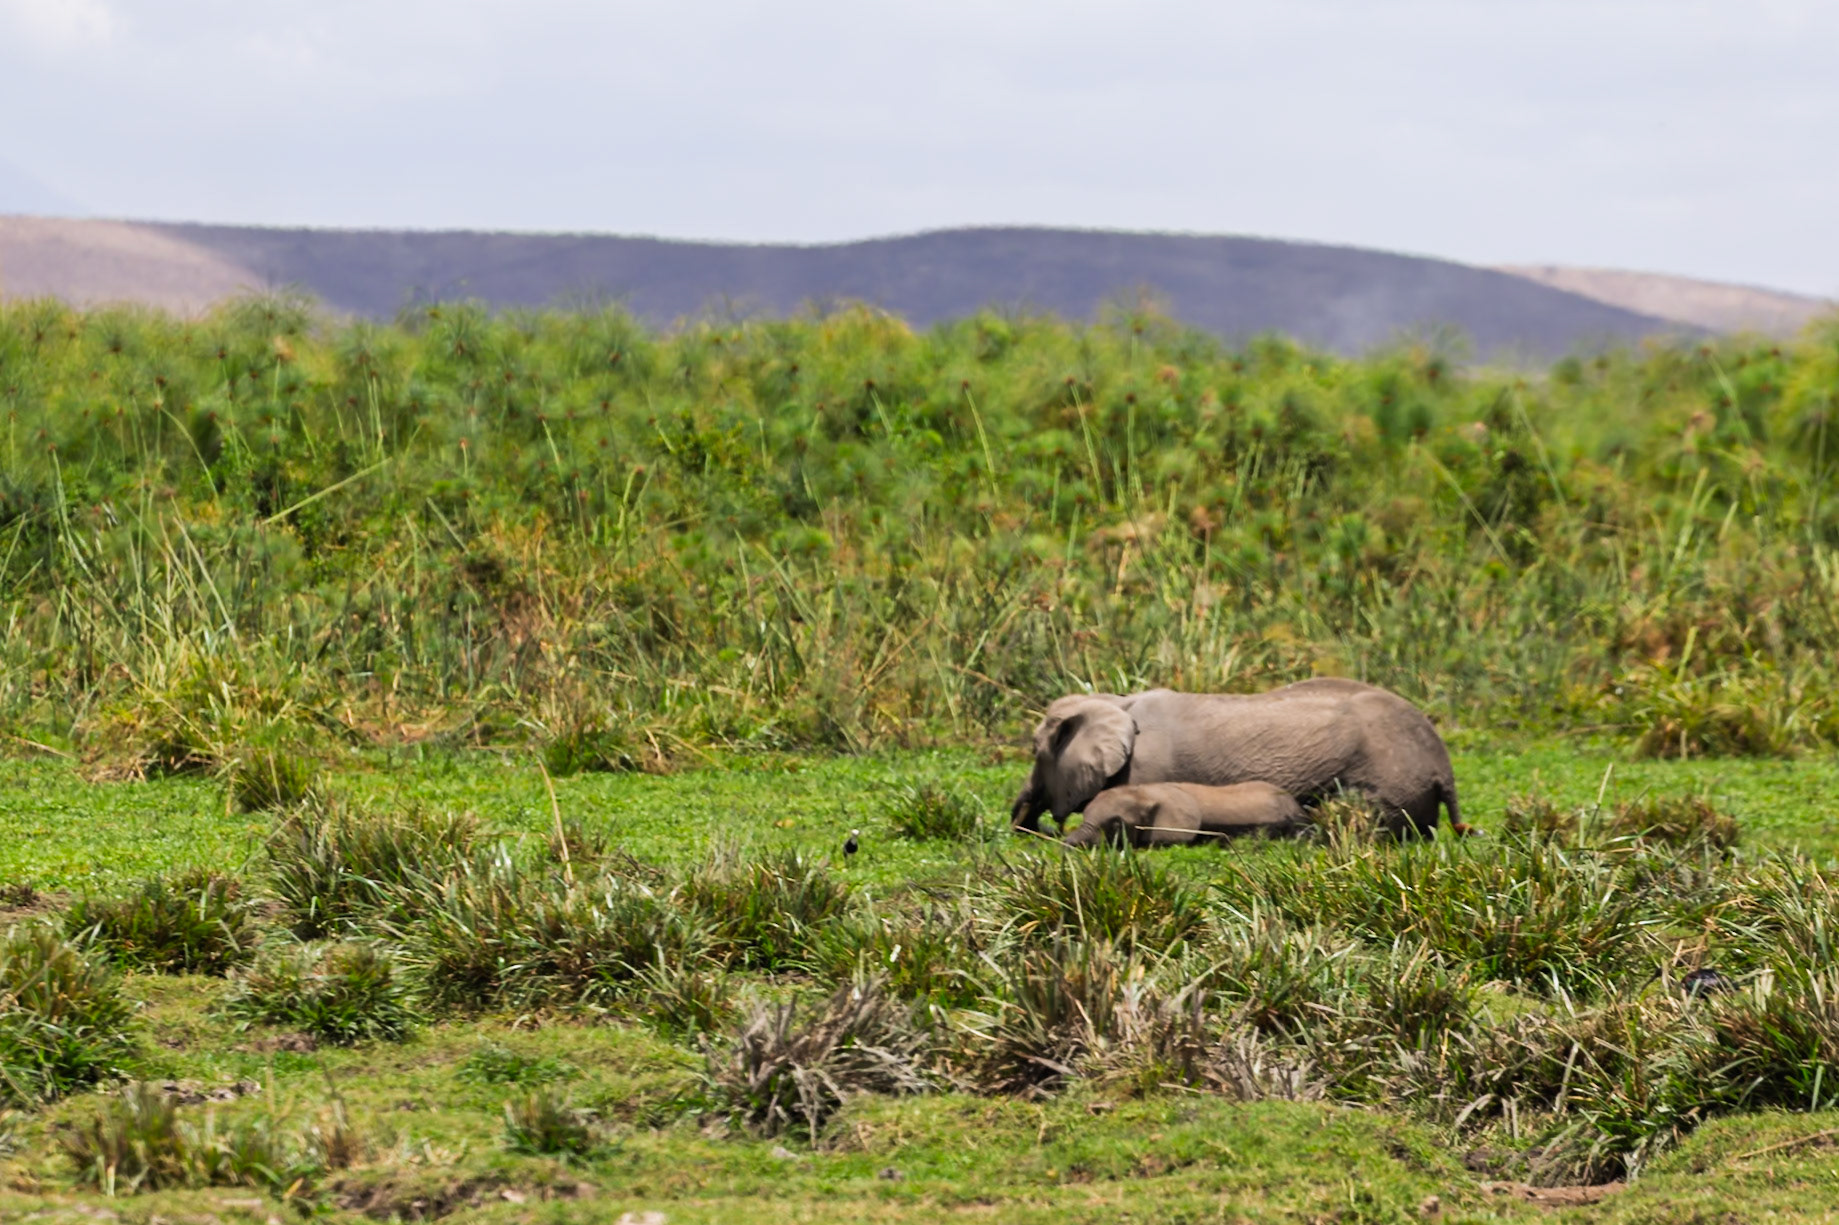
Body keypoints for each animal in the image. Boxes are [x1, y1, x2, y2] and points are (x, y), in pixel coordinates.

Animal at [1011, 679, 1468, 837]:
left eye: (1036, 751)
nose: (1039, 828)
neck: (1117, 701)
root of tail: (1444, 770)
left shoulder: (1143, 769)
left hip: (1388, 783)